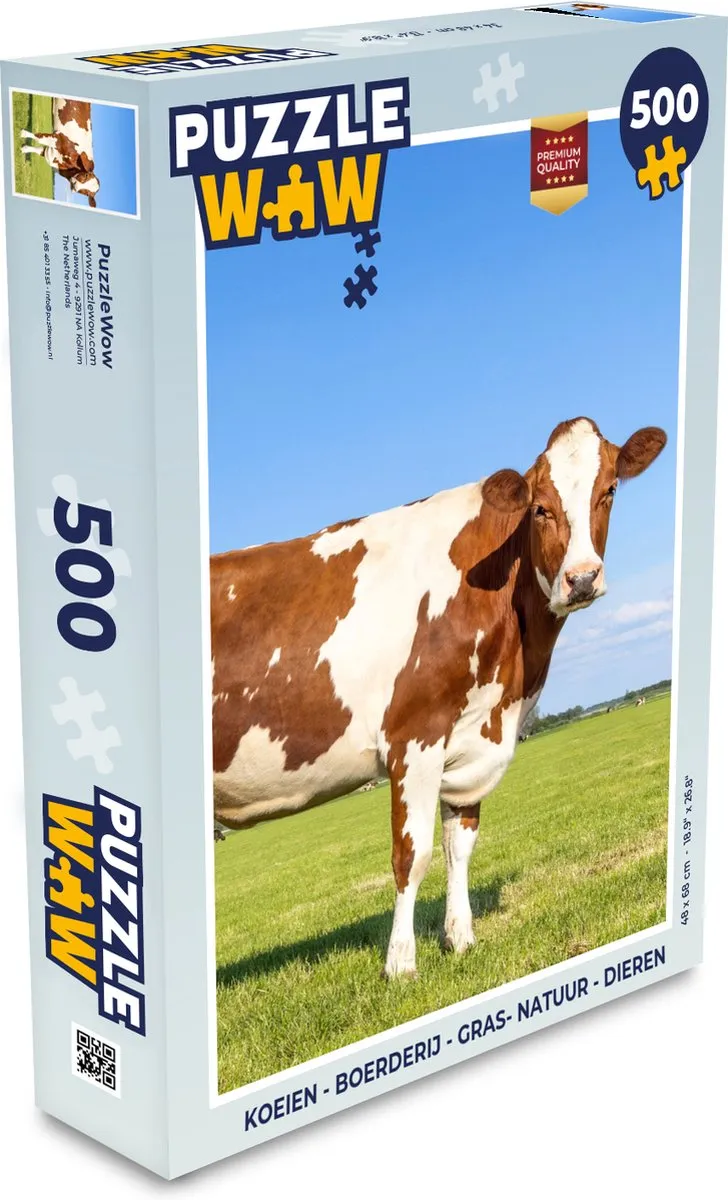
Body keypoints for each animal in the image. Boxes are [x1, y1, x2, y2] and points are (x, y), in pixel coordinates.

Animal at [211, 417, 666, 978]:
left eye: (609, 492)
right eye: (540, 507)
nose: (581, 579)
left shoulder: (472, 739)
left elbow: (459, 845)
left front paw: (460, 937)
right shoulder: (414, 738)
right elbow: (413, 856)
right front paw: (401, 964)